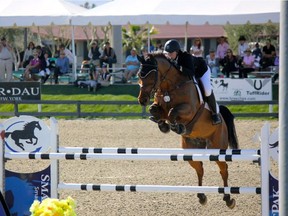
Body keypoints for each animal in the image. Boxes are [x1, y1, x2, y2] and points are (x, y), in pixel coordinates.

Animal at [137, 52, 238, 209]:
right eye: (139, 75)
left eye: (151, 75)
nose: (142, 100)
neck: (170, 87)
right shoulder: (159, 105)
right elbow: (154, 110)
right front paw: (163, 125)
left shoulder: (189, 109)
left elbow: (172, 112)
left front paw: (176, 126)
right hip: (190, 151)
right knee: (200, 169)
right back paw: (202, 196)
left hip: (216, 147)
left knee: (224, 169)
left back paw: (228, 199)